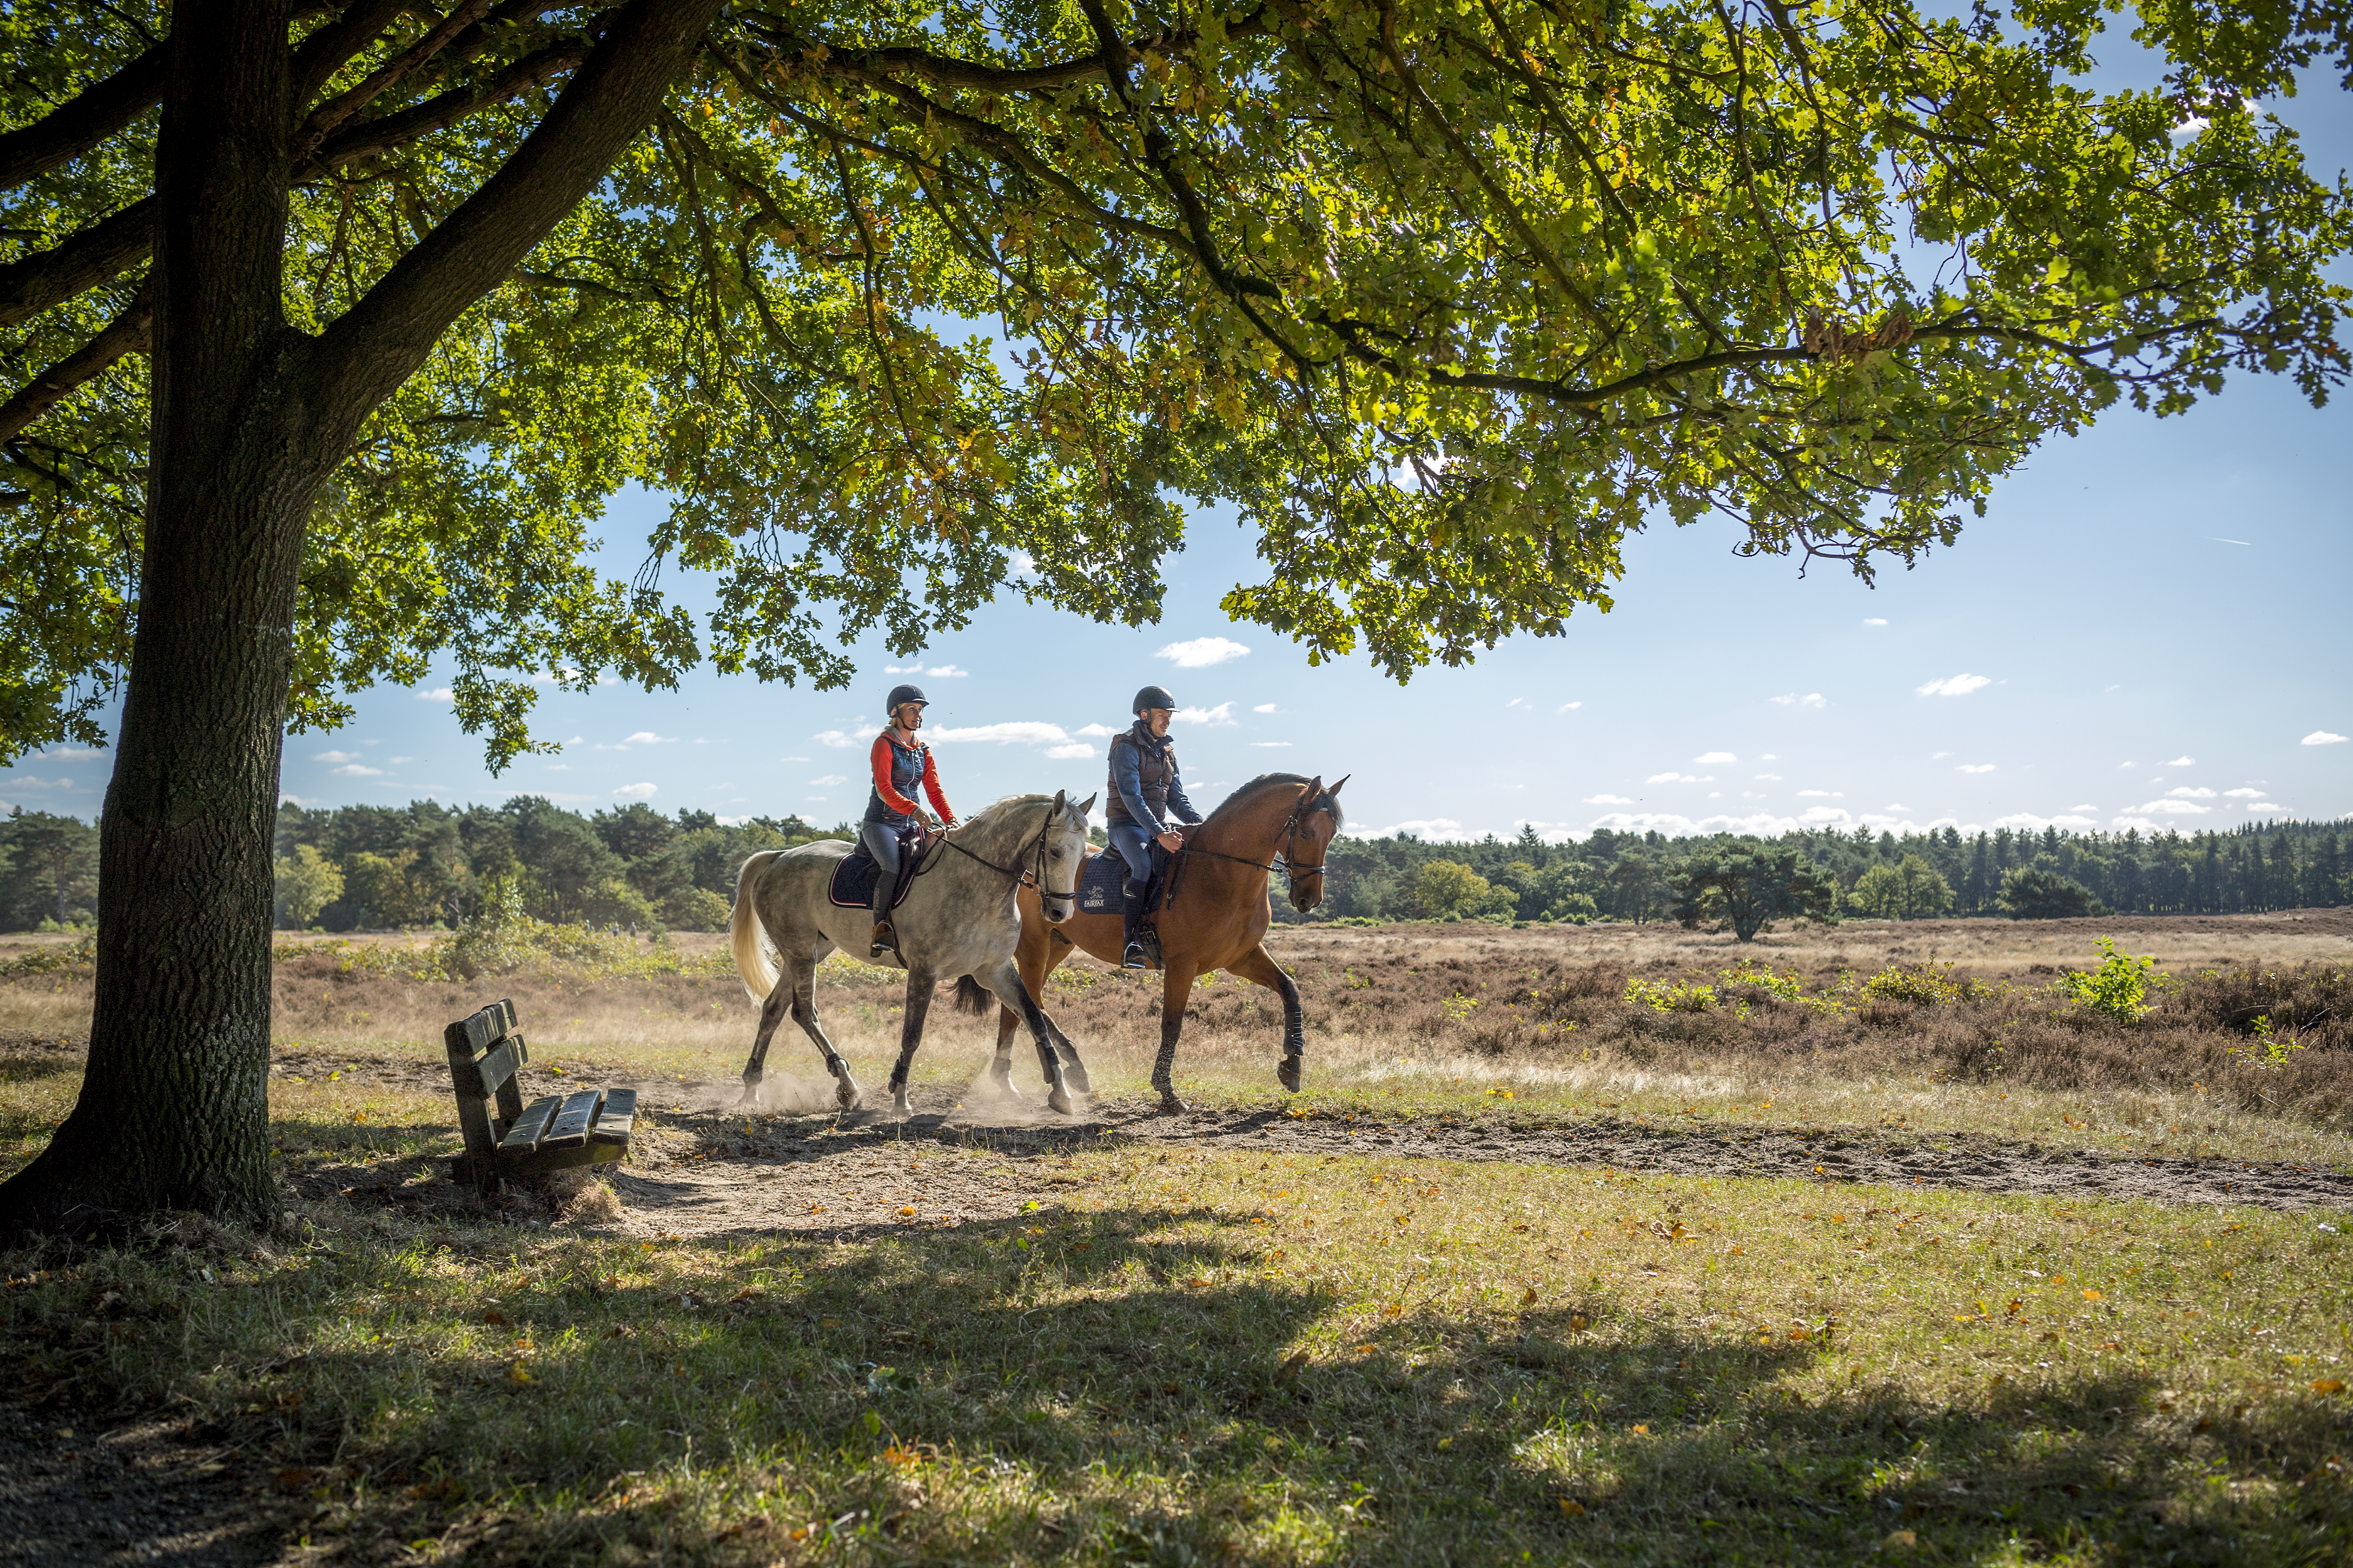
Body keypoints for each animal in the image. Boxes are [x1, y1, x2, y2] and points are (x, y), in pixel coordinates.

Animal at [729, 790, 1097, 1116]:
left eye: (1082, 854)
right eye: (1055, 851)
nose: (1060, 913)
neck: (976, 884)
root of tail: (780, 856)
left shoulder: (994, 970)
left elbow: (1035, 1018)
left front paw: (1061, 1092)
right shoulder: (925, 970)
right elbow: (912, 1034)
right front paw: (900, 1099)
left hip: (812, 950)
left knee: (774, 1009)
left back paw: (752, 1089)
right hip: (801, 951)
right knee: (804, 1011)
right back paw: (847, 1086)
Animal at [989, 773, 1347, 1113]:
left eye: (1331, 835)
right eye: (1305, 834)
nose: (1309, 900)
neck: (1219, 870)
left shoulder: (1241, 958)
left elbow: (1290, 990)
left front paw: (1292, 1064)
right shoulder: (1182, 965)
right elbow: (1172, 1025)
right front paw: (1168, 1093)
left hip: (1058, 946)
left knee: (1022, 1003)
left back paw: (1037, 1075)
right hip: (1034, 948)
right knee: (1026, 1003)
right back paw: (1039, 1075)